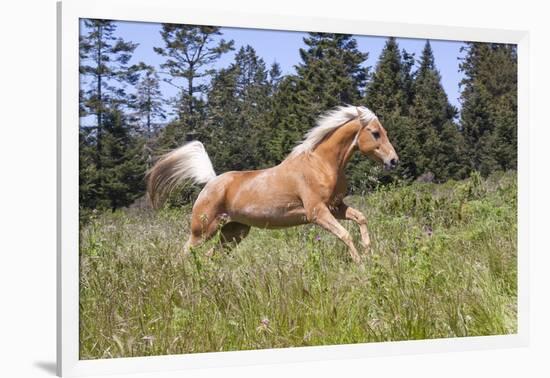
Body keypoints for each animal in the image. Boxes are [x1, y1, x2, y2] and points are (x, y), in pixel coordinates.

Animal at [147, 104, 398, 262]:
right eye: (375, 133)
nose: (394, 160)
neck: (320, 164)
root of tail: (211, 182)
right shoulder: (317, 212)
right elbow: (345, 235)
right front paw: (360, 264)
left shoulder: (336, 207)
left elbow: (361, 218)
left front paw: (368, 252)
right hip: (203, 231)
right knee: (185, 253)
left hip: (234, 232)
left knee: (212, 257)